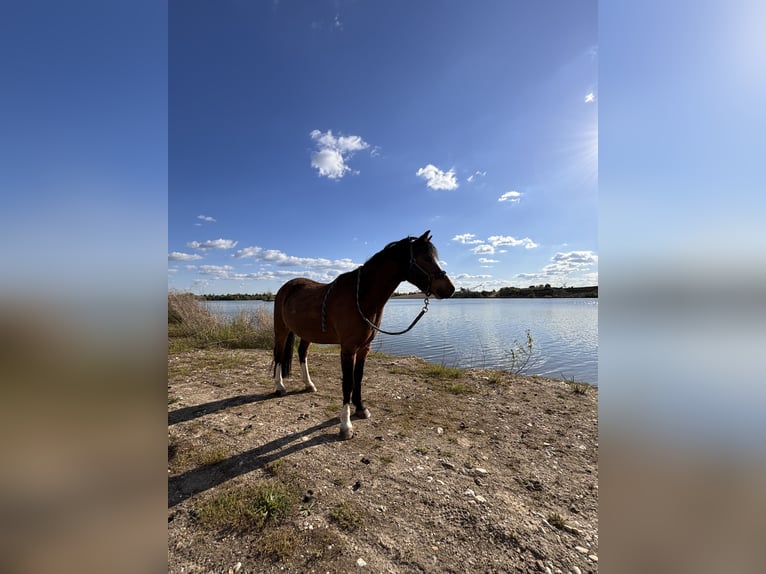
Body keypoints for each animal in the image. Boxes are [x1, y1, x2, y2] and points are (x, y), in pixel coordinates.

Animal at [272, 230, 455, 439]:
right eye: (425, 258)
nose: (449, 288)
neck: (360, 296)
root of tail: (287, 287)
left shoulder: (364, 348)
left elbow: (358, 378)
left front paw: (360, 409)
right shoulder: (348, 349)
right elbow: (348, 382)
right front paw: (345, 426)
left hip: (307, 334)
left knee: (302, 354)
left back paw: (309, 384)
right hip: (281, 330)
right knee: (278, 355)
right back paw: (279, 387)